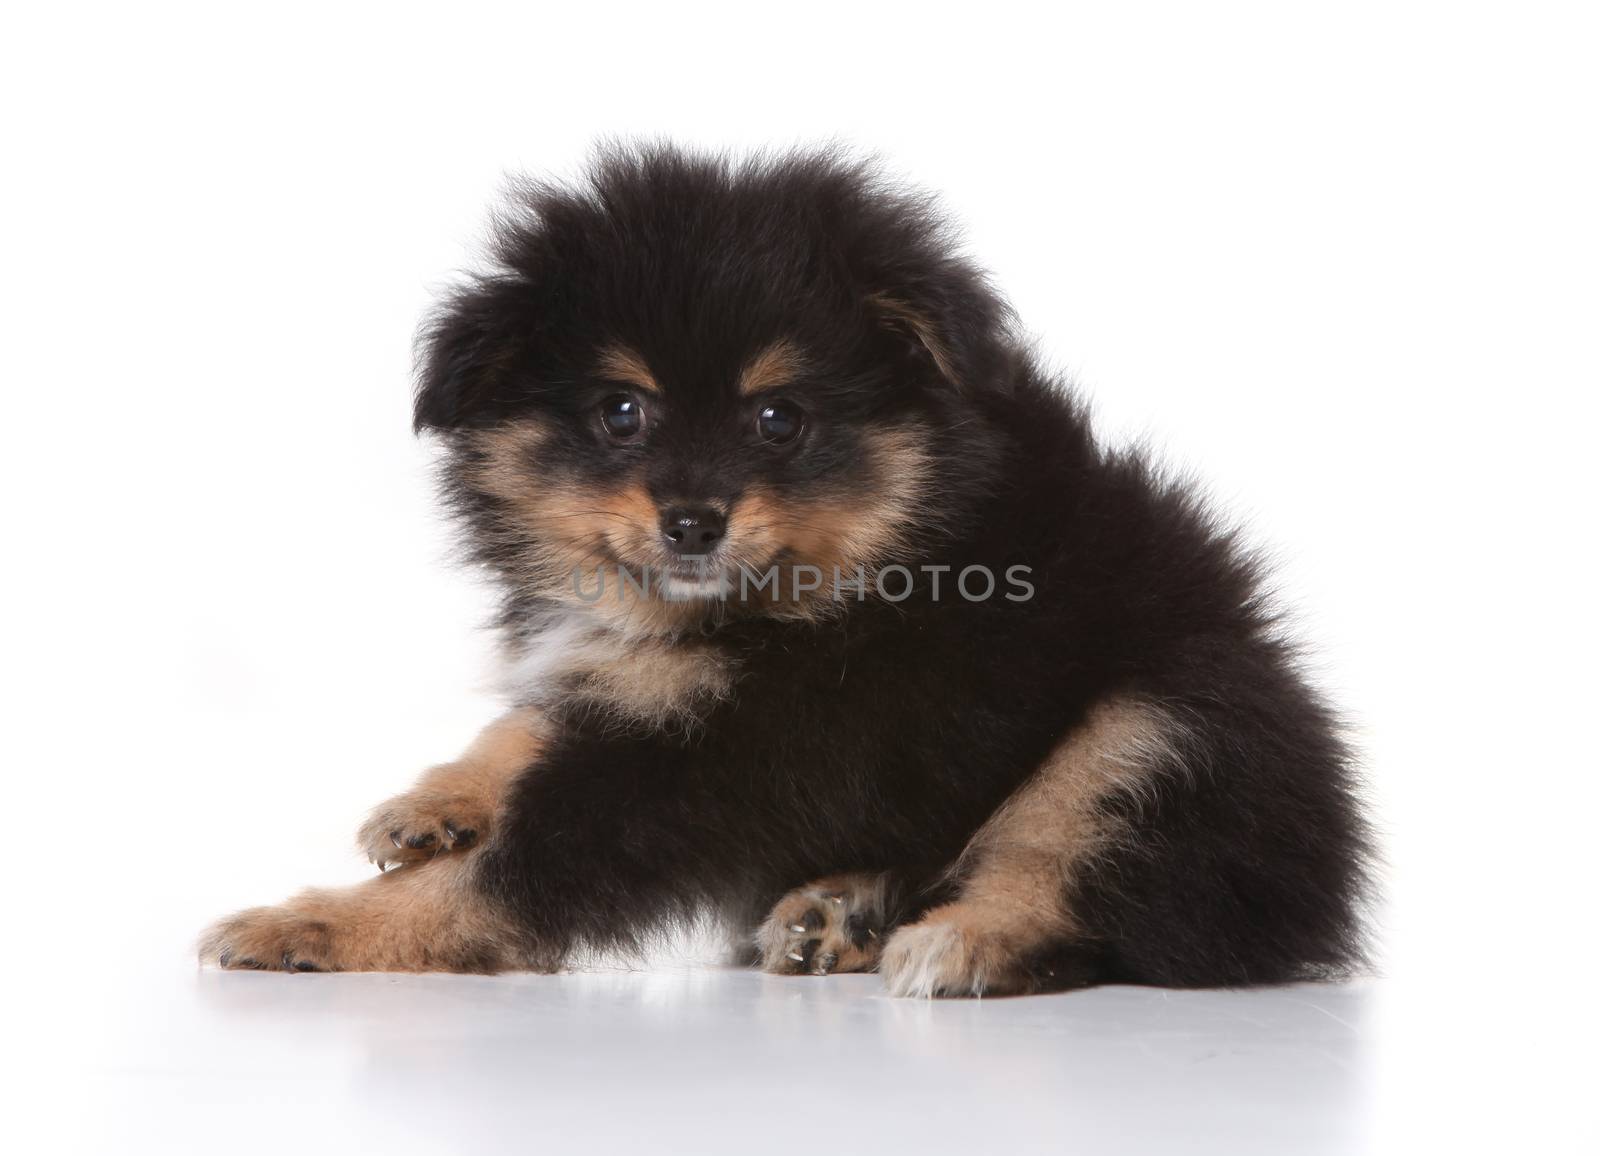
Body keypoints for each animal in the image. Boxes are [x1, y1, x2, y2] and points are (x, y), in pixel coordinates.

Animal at [203, 141, 1376, 992]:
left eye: (779, 418)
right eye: (620, 411)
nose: (692, 522)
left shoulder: (727, 753)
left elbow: (498, 877)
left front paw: (305, 924)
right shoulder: (648, 688)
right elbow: (532, 725)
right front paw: (431, 803)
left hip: (1165, 720)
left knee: (1098, 880)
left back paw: (960, 941)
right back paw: (837, 912)